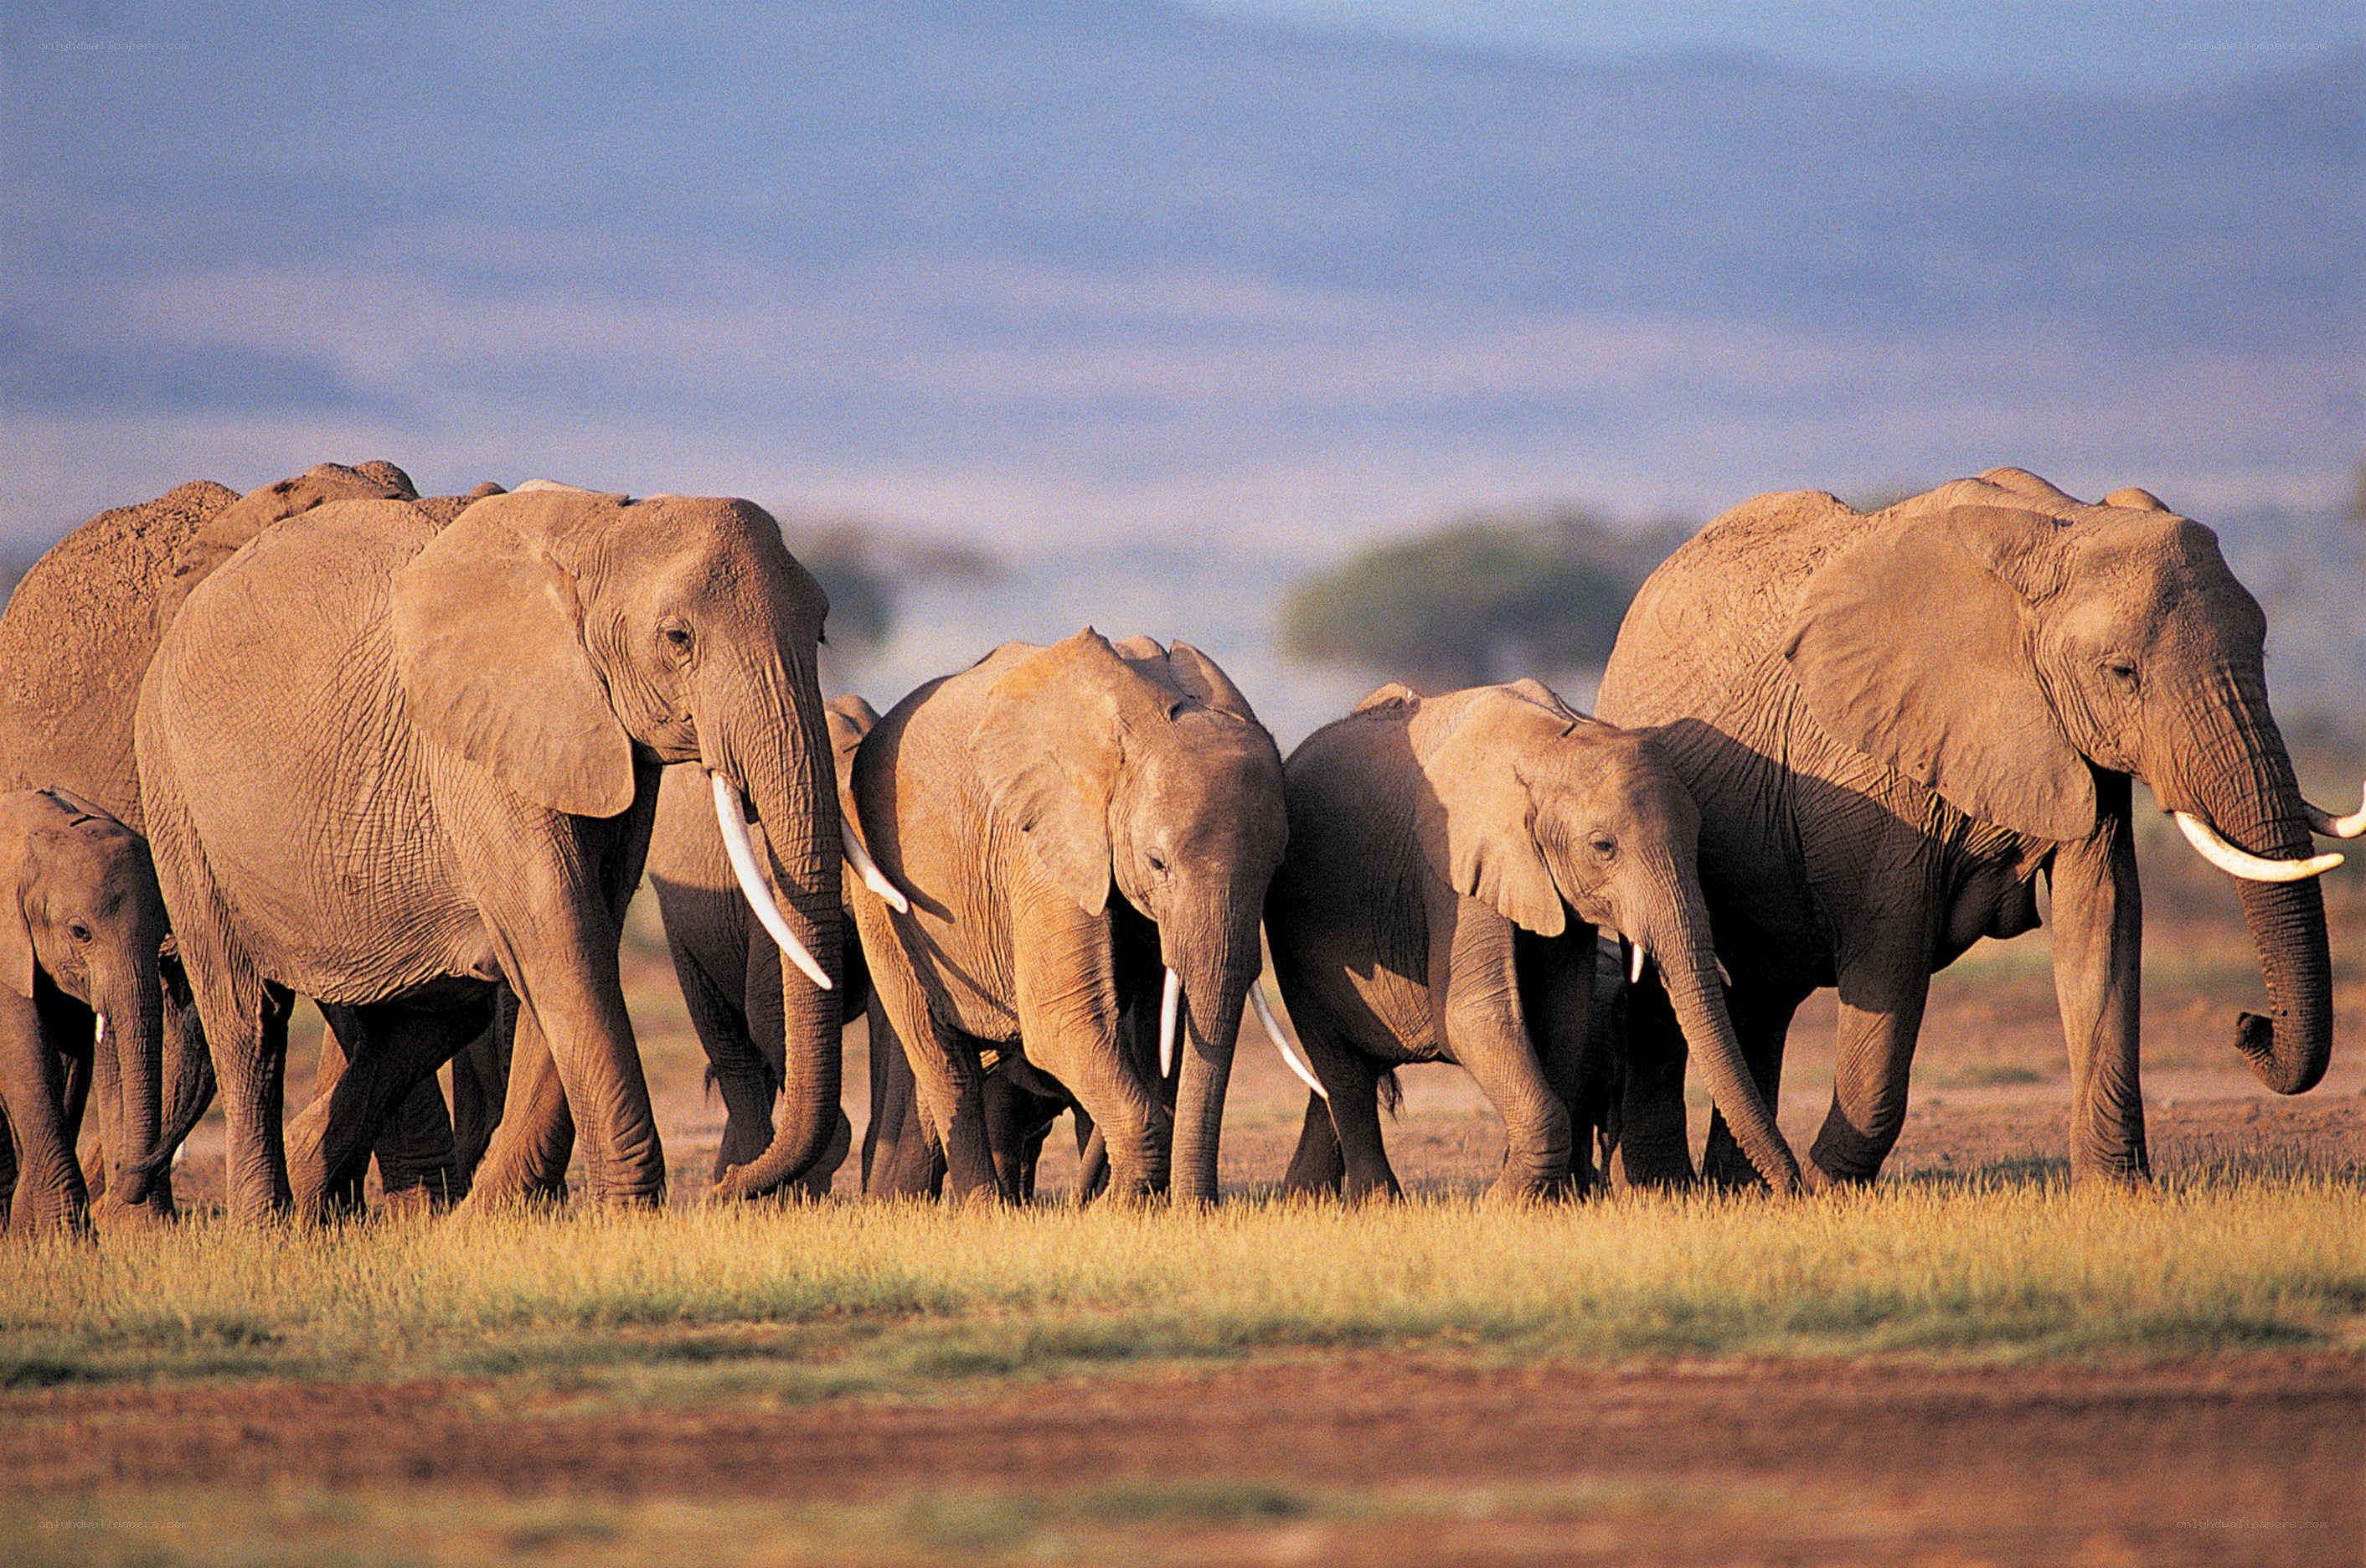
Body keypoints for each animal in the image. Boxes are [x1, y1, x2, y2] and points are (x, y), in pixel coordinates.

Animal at [0, 790, 170, 1233]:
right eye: (81, 932)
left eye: (162, 934)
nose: (123, 1170)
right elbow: (25, 1058)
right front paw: (68, 1236)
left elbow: (72, 1064)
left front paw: (33, 1232)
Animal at [134, 482, 845, 1219]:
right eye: (678, 639)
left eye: (822, 631)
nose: (729, 1188)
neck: (599, 531)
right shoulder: (477, 742)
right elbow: (560, 934)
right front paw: (625, 1218)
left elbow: (582, 931)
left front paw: (489, 1215)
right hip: (173, 791)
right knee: (248, 1019)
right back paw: (268, 1223)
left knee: (426, 1016)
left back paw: (316, 1188)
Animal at [845, 629, 1287, 1203]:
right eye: (1157, 863)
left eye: (1276, 867)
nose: (1200, 1209)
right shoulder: (1041, 852)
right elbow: (1061, 1023)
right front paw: (1119, 1209)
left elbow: (1147, 1030)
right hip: (876, 884)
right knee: (936, 1048)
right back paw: (985, 1208)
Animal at [1260, 680, 1803, 1201]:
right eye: (1603, 847)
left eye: (1697, 842)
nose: (1787, 1191)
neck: (1548, 745)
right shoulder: (1455, 867)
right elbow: (1473, 1016)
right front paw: (1500, 1202)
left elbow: (1564, 1014)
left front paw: (1549, 1199)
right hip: (1293, 939)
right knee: (1342, 1071)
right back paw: (1376, 1201)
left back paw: (1306, 1200)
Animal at [1595, 468, 2358, 1188]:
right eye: (2121, 672)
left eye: (2263, 652)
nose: (2248, 1025)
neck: (2058, 529)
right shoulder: (1867, 760)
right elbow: (1890, 950)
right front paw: (1826, 1188)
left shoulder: (2071, 743)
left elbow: (2102, 923)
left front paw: (2118, 1194)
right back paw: (1675, 1190)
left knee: (1761, 997)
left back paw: (1738, 1188)